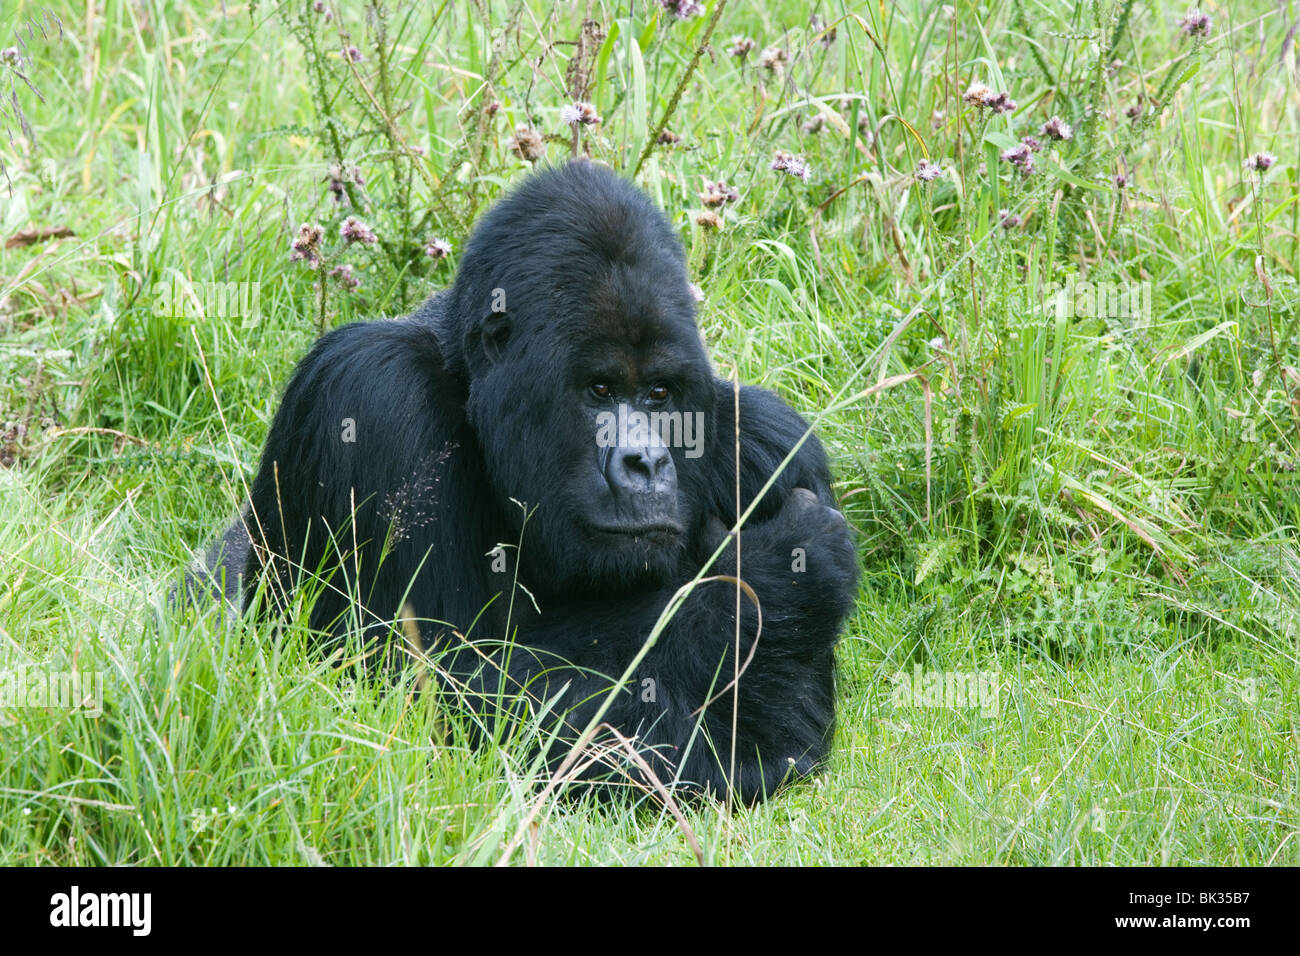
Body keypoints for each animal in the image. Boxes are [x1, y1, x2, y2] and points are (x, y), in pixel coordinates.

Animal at [188, 160, 857, 806]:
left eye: (660, 394)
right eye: (599, 390)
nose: (646, 462)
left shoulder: (771, 443)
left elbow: (795, 720)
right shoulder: (368, 393)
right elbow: (411, 691)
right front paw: (759, 589)